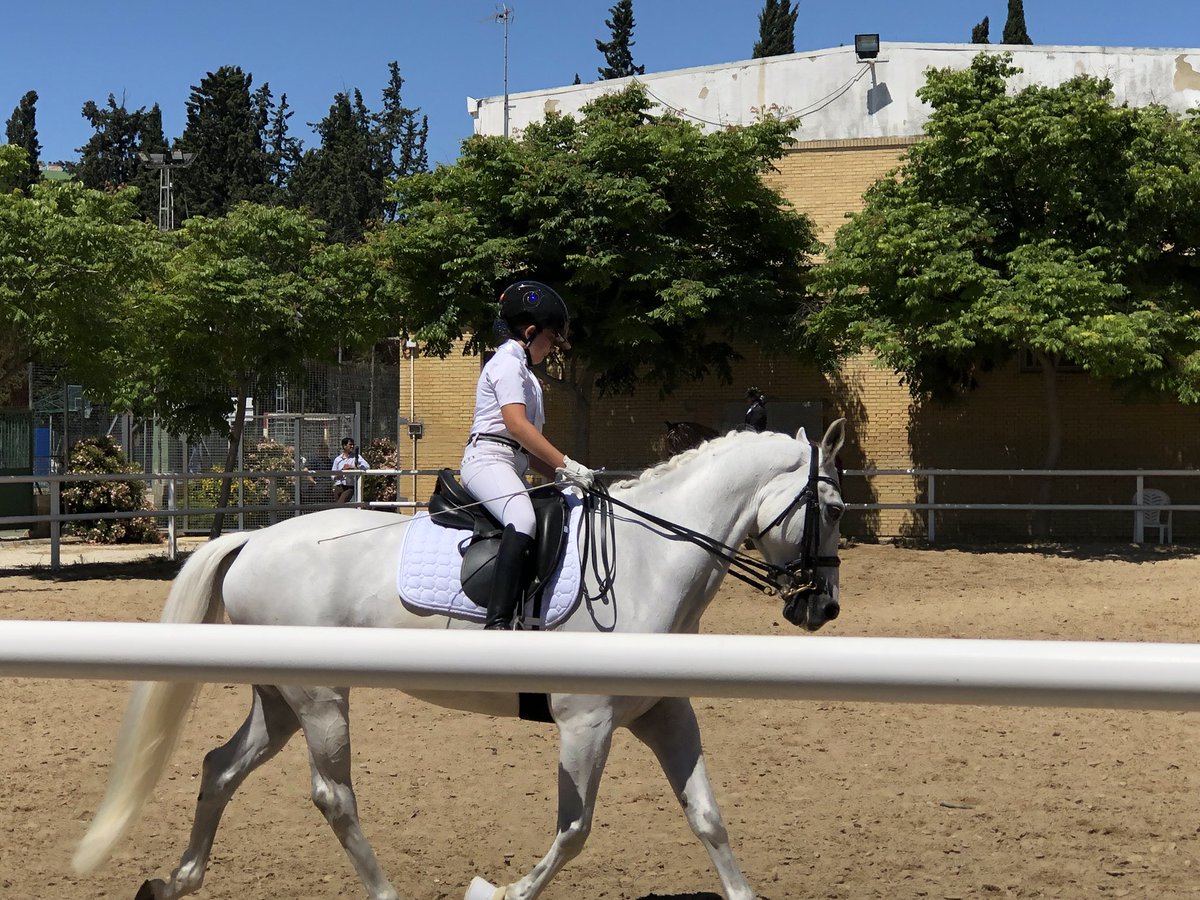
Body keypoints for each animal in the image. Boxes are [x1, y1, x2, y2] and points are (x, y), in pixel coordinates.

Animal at [73, 420, 847, 900]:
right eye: (834, 509)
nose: (823, 610)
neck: (647, 559)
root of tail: (251, 541)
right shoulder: (587, 723)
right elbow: (573, 831)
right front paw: (498, 889)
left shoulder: (663, 712)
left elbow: (707, 816)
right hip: (321, 698)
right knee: (334, 797)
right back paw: (384, 892)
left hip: (282, 700)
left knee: (220, 767)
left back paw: (173, 881)